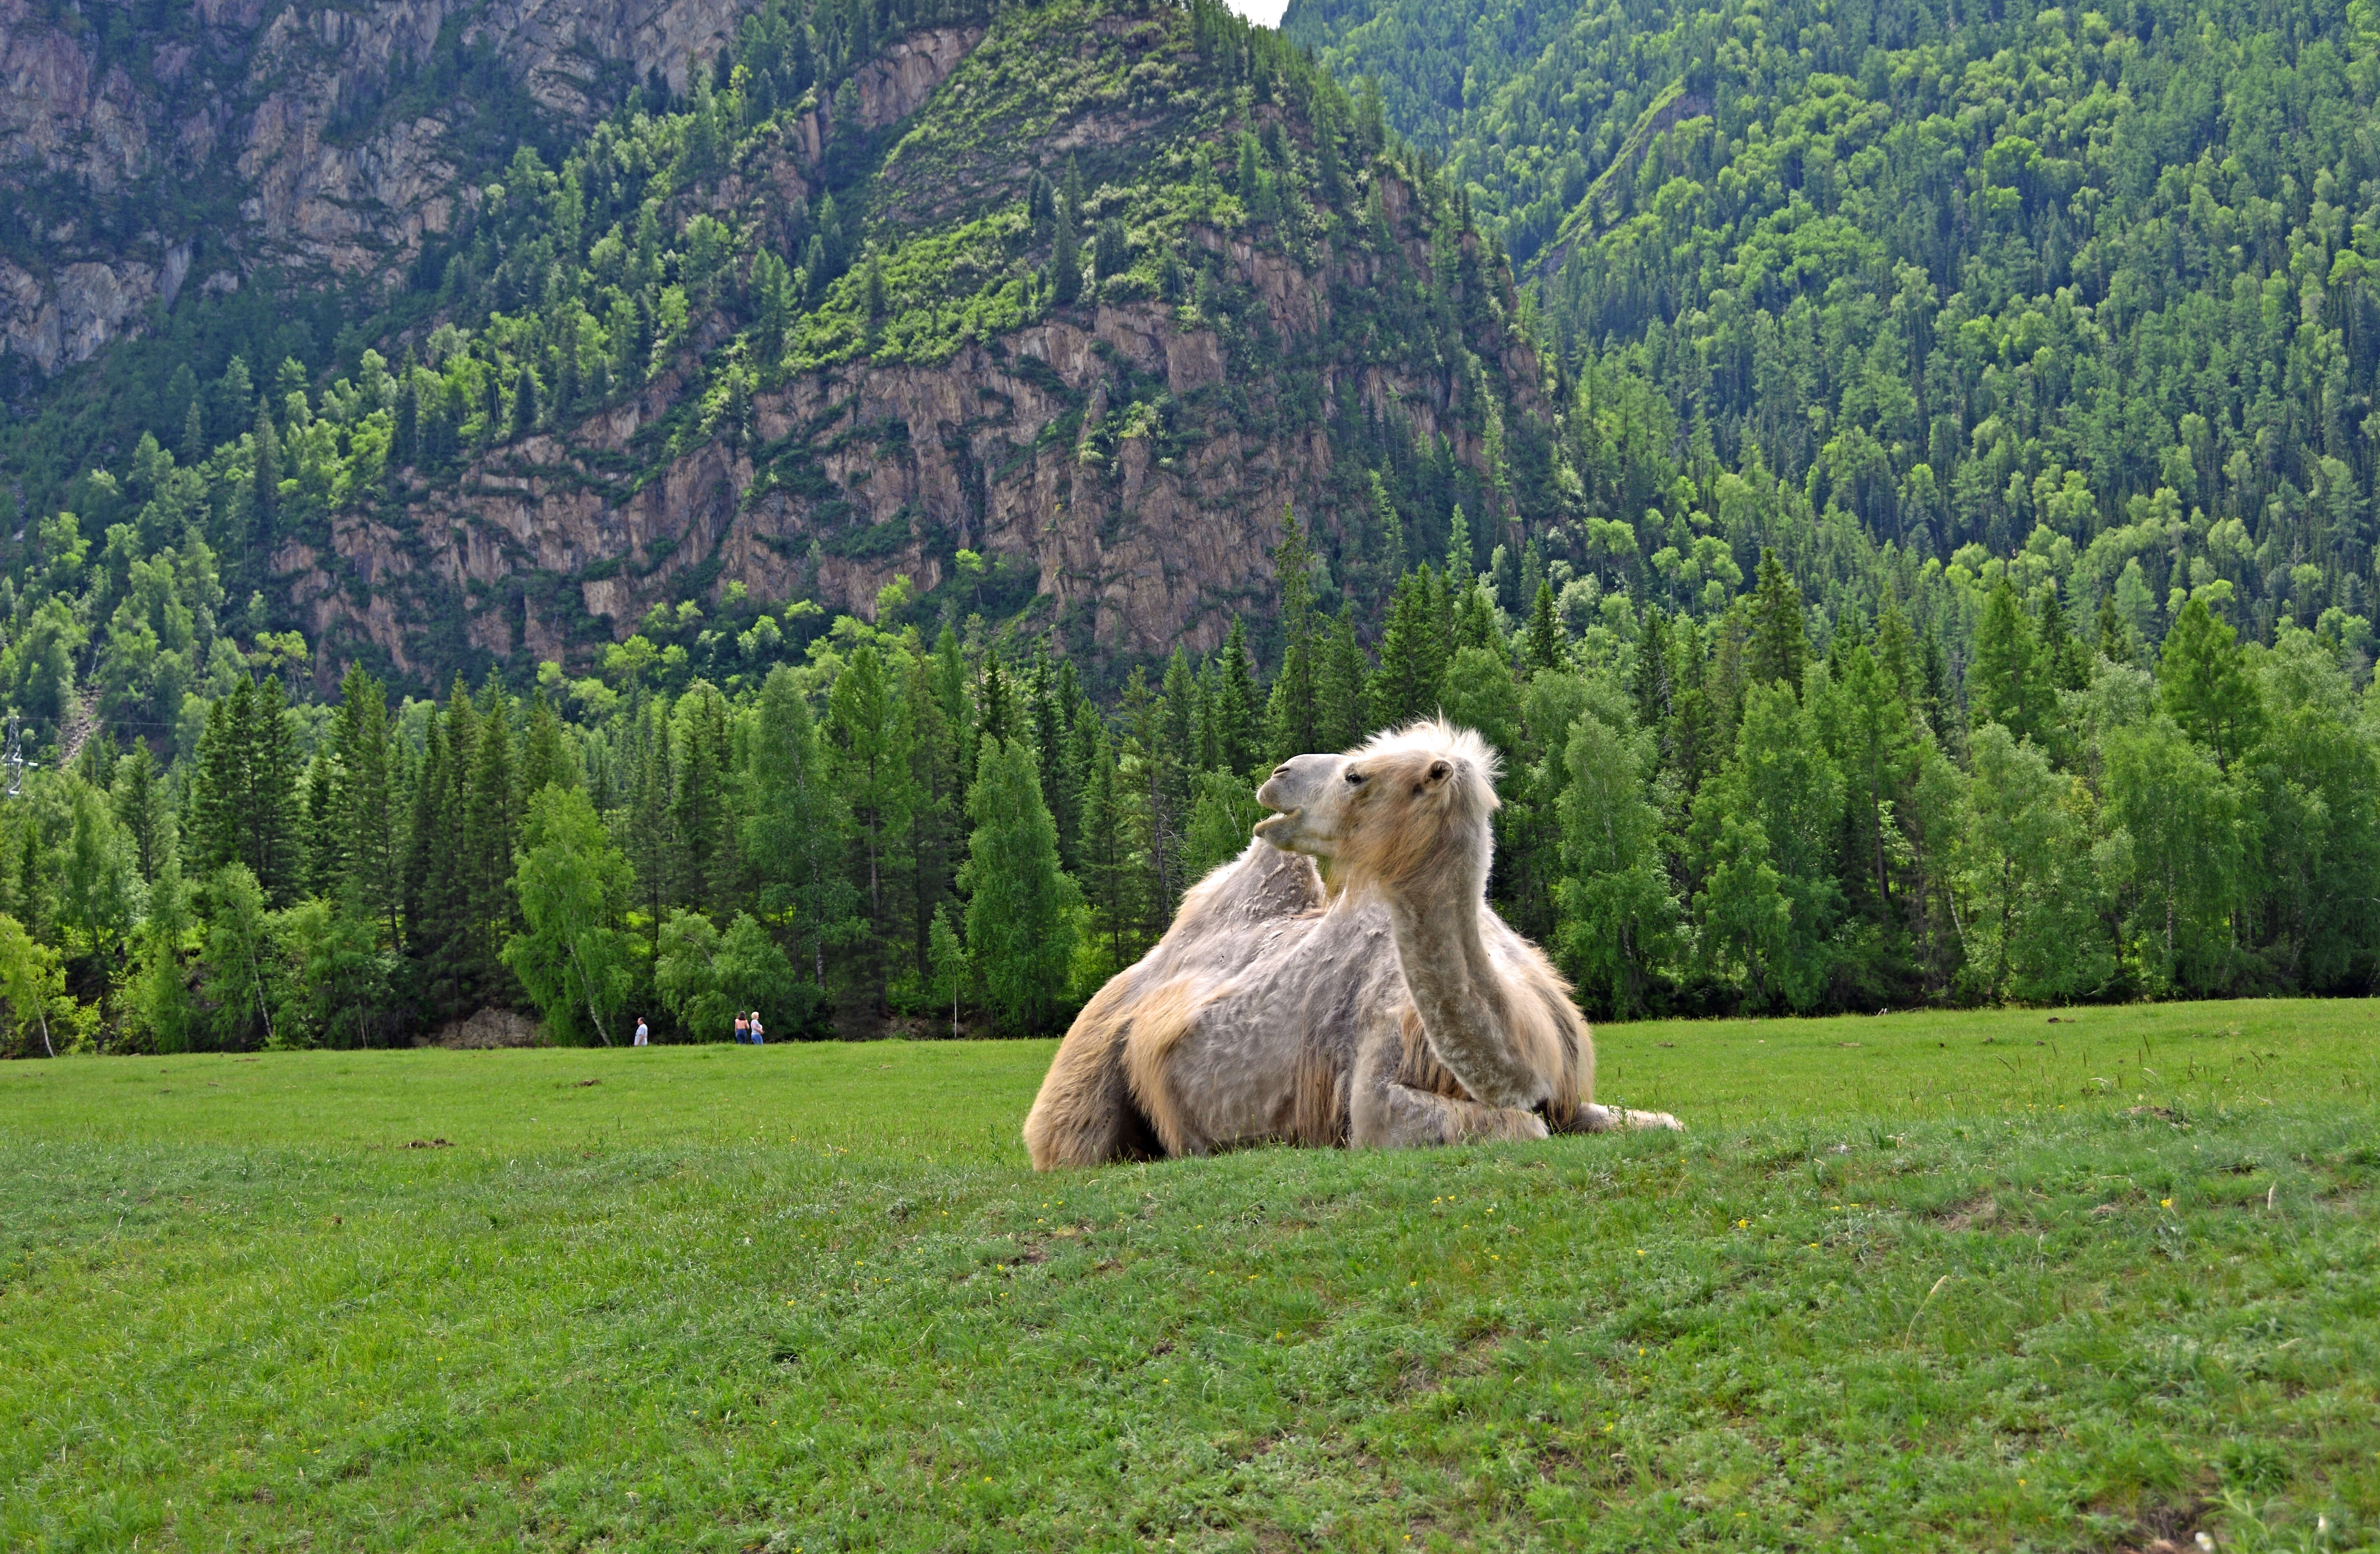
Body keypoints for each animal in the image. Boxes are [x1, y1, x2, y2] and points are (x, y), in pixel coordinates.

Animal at [1023, 719, 1675, 1161]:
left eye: (1356, 775)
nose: (1277, 776)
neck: (1522, 1057)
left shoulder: (1566, 1095)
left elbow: (1667, 1122)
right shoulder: (1377, 1091)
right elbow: (1524, 1129)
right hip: (1088, 1068)